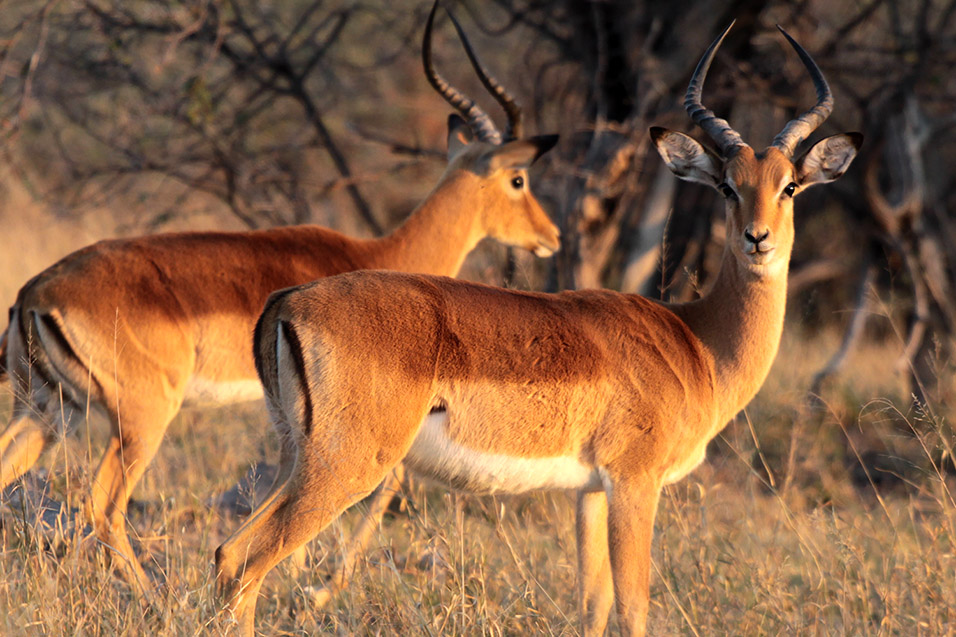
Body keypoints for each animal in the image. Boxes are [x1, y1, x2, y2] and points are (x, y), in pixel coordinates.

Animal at [0, 2, 560, 592]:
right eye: (518, 179)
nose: (552, 236)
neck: (386, 250)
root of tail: (35, 292)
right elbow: (381, 486)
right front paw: (323, 587)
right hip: (141, 418)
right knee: (104, 507)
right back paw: (154, 597)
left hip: (46, 411)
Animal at [215, 22, 860, 632]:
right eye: (728, 186)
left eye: (790, 186)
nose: (758, 238)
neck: (697, 342)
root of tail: (287, 302)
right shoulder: (635, 481)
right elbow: (633, 607)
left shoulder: (590, 491)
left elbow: (594, 605)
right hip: (347, 465)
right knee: (248, 563)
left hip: (293, 458)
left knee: (226, 554)